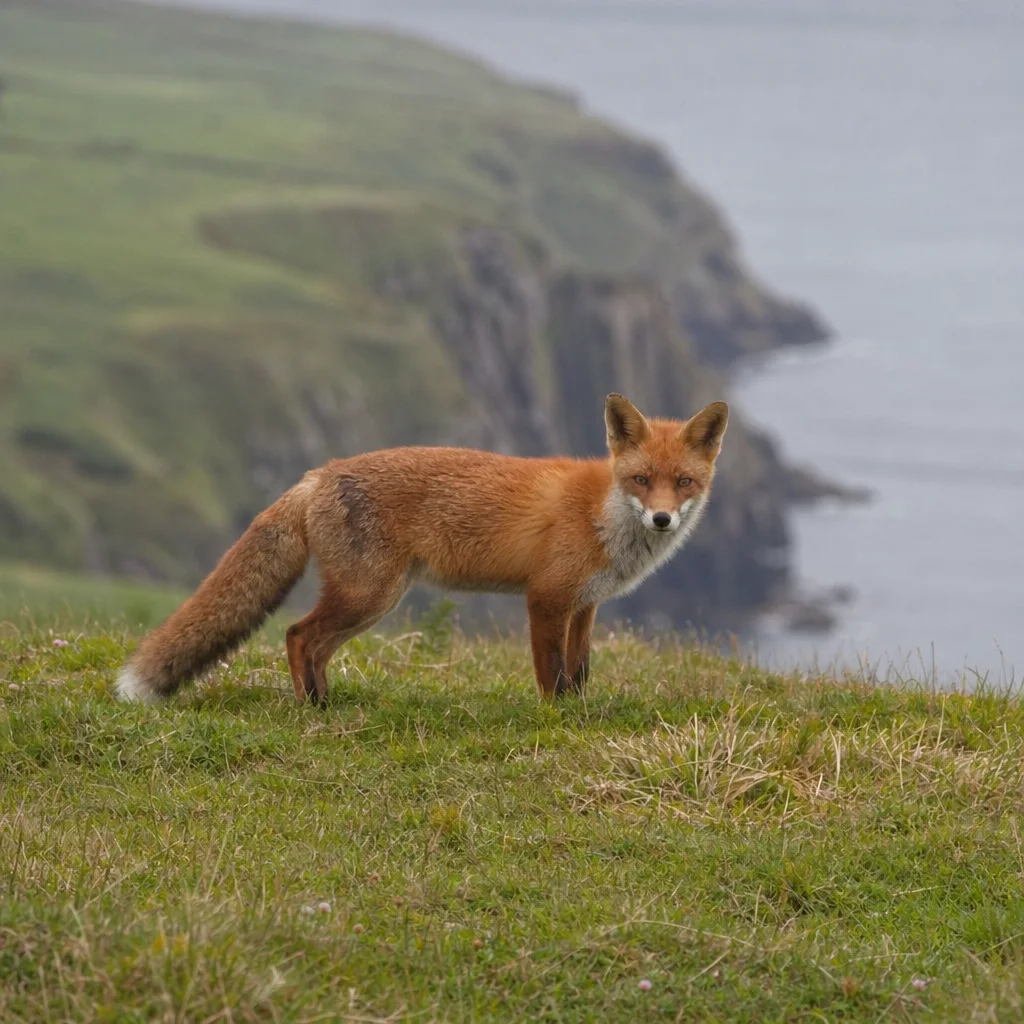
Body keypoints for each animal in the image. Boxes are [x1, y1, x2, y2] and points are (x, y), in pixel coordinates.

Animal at [115, 393, 728, 704]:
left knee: (314, 646)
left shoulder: (585, 605)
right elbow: (551, 677)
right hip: (368, 595)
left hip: (373, 602)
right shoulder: (546, 599)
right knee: (296, 635)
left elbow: (578, 673)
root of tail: (318, 475)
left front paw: (580, 715)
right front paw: (556, 721)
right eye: (642, 480)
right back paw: (312, 708)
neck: (605, 513)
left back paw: (327, 701)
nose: (662, 518)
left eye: (684, 482)